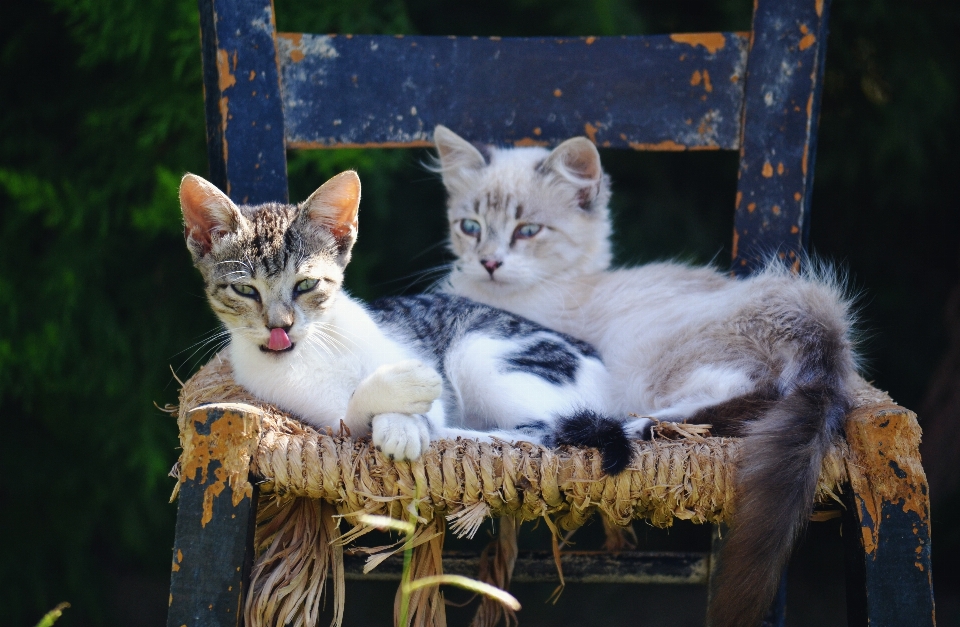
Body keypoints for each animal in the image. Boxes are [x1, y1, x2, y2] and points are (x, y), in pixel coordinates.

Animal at [179, 170, 632, 472]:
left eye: (306, 284)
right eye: (245, 290)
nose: (280, 326)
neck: (312, 350)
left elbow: (424, 407)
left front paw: (405, 422)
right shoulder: (317, 417)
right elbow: (350, 418)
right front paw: (396, 409)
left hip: (479, 352)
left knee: (545, 432)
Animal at [432, 125, 860, 627]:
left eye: (528, 231)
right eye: (470, 227)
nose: (489, 263)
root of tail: (821, 327)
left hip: (656, 359)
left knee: (730, 396)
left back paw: (635, 426)